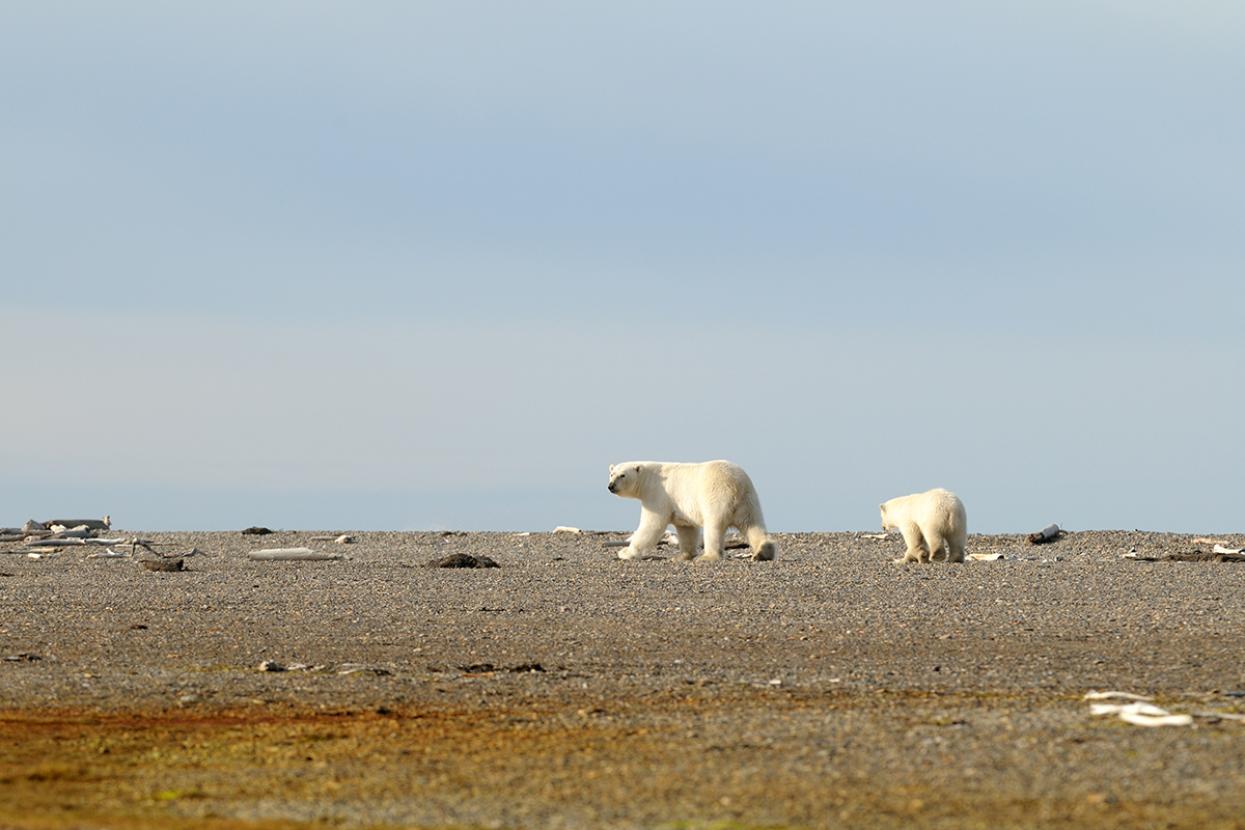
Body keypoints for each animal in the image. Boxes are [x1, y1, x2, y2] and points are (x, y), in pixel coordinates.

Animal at [607, 460, 776, 562]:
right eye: (611, 473)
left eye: (622, 475)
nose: (611, 486)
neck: (649, 478)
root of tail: (736, 484)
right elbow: (686, 528)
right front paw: (683, 556)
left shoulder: (658, 494)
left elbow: (652, 525)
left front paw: (625, 552)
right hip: (749, 500)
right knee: (752, 524)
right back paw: (764, 552)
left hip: (716, 496)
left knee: (713, 527)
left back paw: (708, 556)